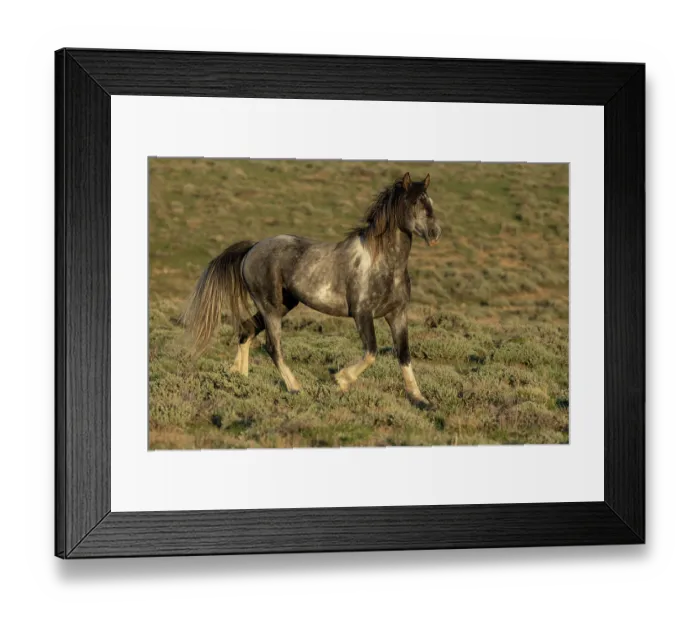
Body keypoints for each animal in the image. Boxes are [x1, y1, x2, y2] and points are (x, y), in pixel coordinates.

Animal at [181, 172, 443, 409]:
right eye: (413, 202)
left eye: (430, 200)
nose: (434, 233)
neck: (384, 263)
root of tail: (252, 248)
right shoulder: (362, 314)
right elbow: (371, 352)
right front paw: (341, 380)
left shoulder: (397, 314)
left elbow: (404, 355)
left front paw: (421, 399)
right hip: (270, 308)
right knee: (272, 347)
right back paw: (295, 387)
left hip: (283, 305)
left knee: (247, 329)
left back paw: (239, 376)